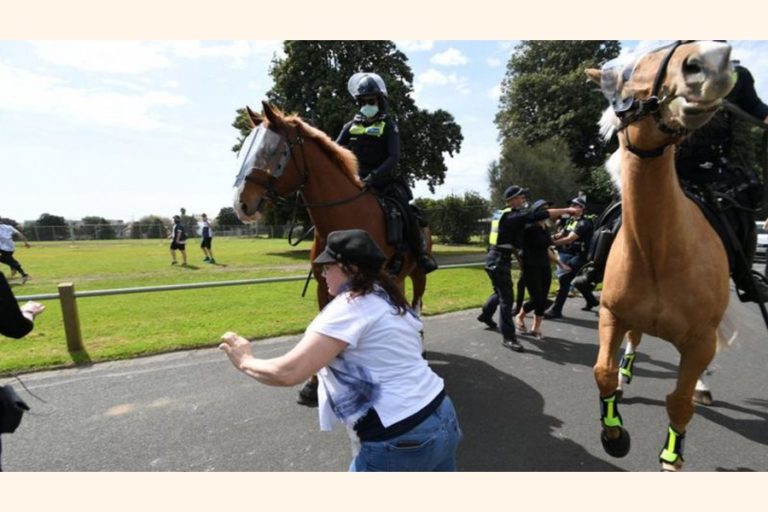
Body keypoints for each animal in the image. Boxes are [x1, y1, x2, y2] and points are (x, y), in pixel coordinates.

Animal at [588, 42, 736, 470]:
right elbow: (603, 371)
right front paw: (614, 433)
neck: (658, 251)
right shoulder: (612, 314)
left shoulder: (699, 341)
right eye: (625, 75)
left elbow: (680, 402)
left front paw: (672, 456)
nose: (711, 61)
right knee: (634, 342)